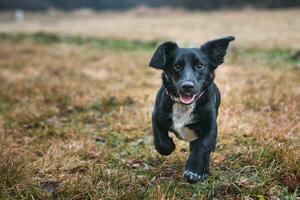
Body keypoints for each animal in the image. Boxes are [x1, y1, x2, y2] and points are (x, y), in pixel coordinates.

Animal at [149, 35, 236, 183]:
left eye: (200, 65)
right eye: (177, 65)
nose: (187, 86)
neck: (183, 105)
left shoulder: (210, 128)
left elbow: (201, 147)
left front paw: (194, 171)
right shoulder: (156, 117)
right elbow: (161, 141)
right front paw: (169, 146)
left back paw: (204, 171)